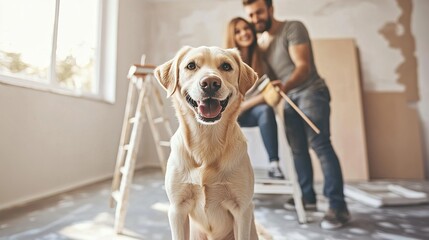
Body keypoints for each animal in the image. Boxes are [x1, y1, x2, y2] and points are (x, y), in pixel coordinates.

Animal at [155, 45, 260, 240]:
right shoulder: (177, 210)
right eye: (191, 65)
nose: (210, 83)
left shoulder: (242, 210)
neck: (206, 142)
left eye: (226, 66)